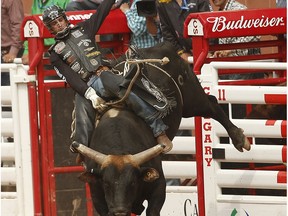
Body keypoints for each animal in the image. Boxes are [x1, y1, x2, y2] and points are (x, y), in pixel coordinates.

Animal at [72, 41, 250, 215]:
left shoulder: (159, 188)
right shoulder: (97, 195)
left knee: (212, 104)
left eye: (132, 183)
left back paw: (239, 139)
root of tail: (161, 46)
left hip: (192, 99)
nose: (120, 211)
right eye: (107, 184)